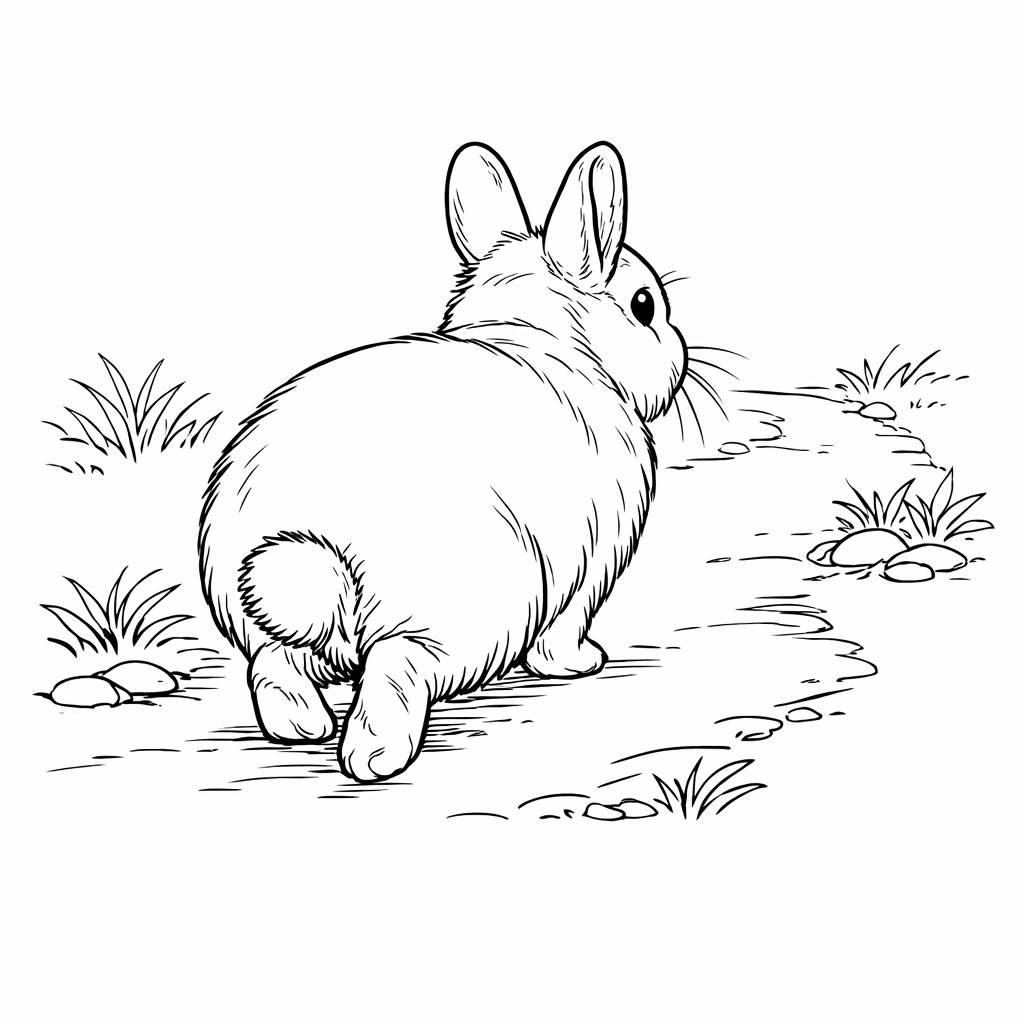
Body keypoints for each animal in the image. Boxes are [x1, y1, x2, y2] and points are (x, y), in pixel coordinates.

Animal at [199, 141, 688, 782]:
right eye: (644, 306)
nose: (681, 348)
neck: (550, 345)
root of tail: (303, 547)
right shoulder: (586, 567)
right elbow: (563, 629)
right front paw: (581, 663)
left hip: (273, 628)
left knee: (274, 666)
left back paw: (301, 729)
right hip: (448, 618)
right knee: (395, 674)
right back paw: (374, 760)